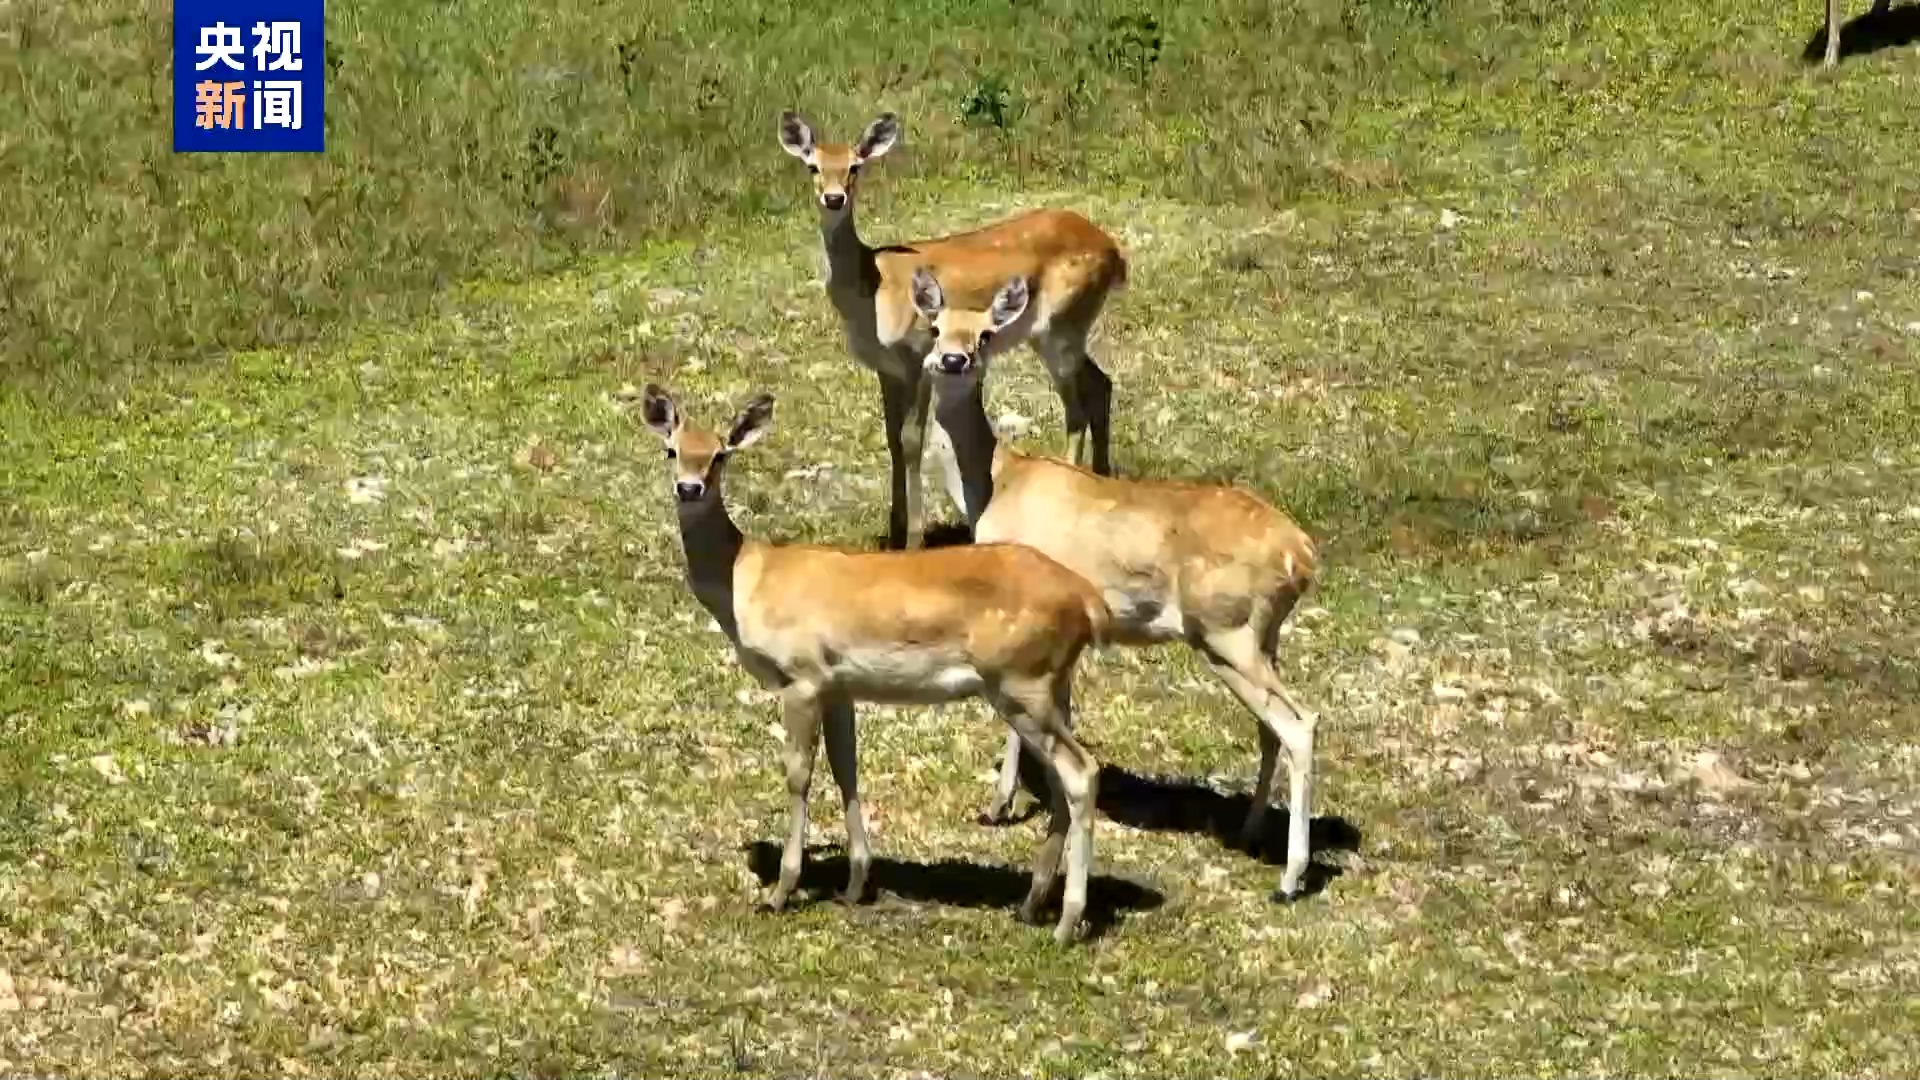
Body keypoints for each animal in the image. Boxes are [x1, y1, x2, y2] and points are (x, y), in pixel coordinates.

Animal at [636, 382, 1112, 944]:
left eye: (719, 455)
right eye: (671, 450)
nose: (688, 488)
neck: (748, 579)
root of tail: (1087, 601)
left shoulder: (801, 677)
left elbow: (799, 774)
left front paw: (781, 891)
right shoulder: (839, 685)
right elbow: (847, 768)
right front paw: (855, 882)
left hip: (1021, 681)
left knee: (1081, 772)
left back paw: (1067, 922)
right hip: (1052, 685)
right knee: (1063, 779)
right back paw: (1032, 904)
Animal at [776, 110, 1129, 548]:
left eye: (856, 167)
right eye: (813, 166)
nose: (834, 197)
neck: (873, 288)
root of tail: (1114, 252)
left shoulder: (914, 358)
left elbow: (911, 441)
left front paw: (914, 538)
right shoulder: (886, 370)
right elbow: (891, 441)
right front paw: (893, 531)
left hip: (1060, 326)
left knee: (1076, 407)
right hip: (1064, 330)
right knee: (1101, 383)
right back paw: (1101, 474)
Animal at [906, 268, 1328, 902]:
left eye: (985, 334)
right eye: (935, 326)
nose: (953, 359)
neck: (999, 482)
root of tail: (1300, 552)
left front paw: (998, 805)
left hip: (1226, 634)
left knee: (1299, 724)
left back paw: (1290, 877)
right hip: (1262, 638)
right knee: (1270, 730)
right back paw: (1253, 833)